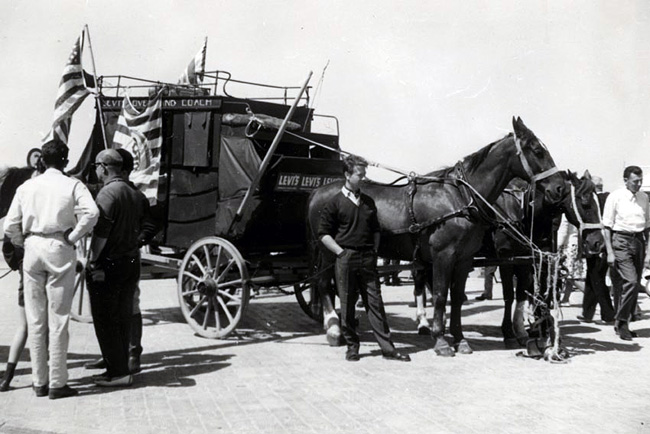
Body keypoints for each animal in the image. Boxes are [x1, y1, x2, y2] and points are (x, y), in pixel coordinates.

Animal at [308, 117, 566, 357]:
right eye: (537, 150)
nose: (559, 188)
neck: (460, 198)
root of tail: (318, 191)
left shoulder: (464, 259)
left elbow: (458, 298)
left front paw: (460, 339)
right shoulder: (446, 256)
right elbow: (442, 296)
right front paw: (441, 341)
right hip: (327, 251)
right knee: (324, 284)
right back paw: (334, 329)